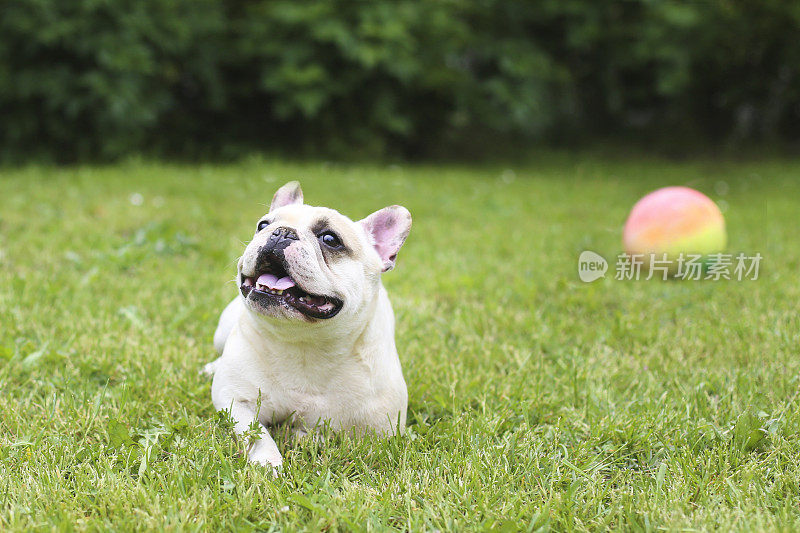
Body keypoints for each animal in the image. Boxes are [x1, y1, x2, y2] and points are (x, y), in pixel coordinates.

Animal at [205, 181, 412, 468]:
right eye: (262, 225)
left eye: (330, 239)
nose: (282, 232)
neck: (304, 344)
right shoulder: (235, 400)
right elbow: (256, 433)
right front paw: (268, 462)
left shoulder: (381, 432)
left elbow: (324, 434)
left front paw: (299, 434)